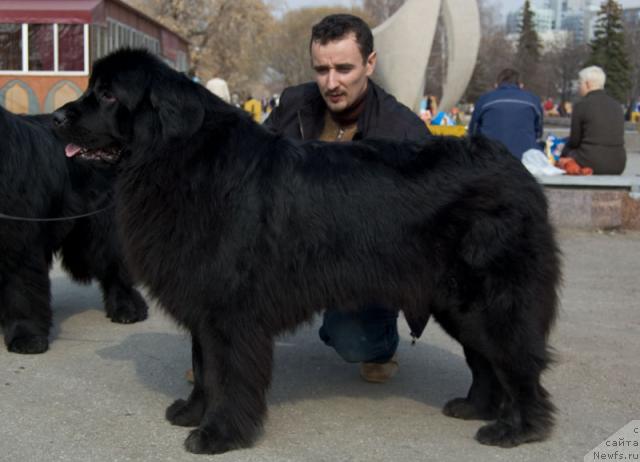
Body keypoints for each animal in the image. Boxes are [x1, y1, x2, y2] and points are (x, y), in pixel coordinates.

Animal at [0, 104, 148, 354]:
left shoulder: (20, 241)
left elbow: (21, 291)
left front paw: (26, 336)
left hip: (101, 227)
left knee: (116, 267)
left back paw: (127, 308)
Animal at [53, 49, 560, 454]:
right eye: (91, 88)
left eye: (108, 95)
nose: (56, 118)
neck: (175, 158)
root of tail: (516, 170)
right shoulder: (204, 300)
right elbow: (203, 365)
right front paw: (193, 412)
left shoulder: (230, 310)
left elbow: (226, 373)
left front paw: (219, 434)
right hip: (456, 302)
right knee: (486, 360)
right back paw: (475, 407)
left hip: (489, 300)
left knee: (518, 362)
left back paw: (518, 429)